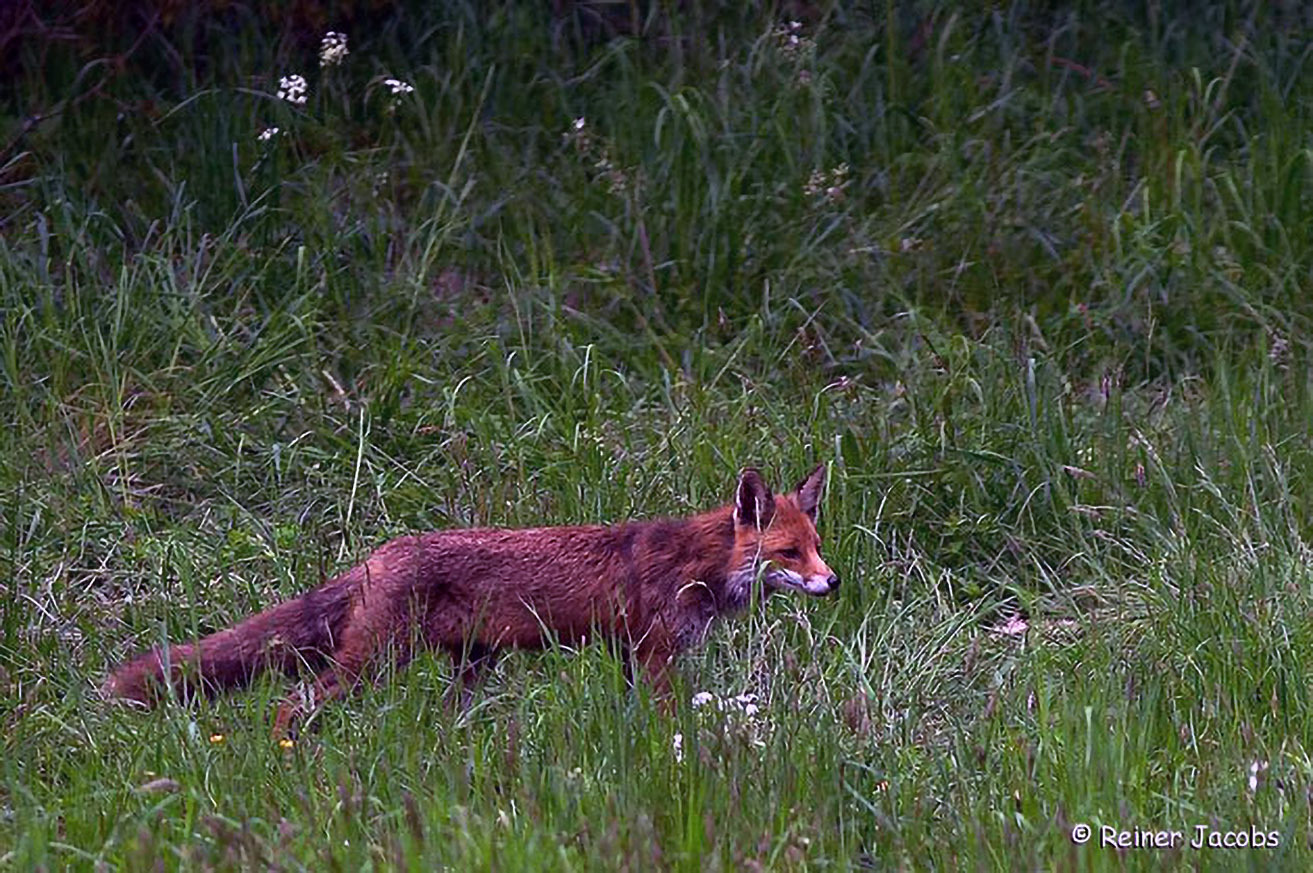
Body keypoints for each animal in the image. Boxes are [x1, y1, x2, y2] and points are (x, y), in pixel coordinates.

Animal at [104, 465, 838, 732]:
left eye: (817, 545)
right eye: (787, 554)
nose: (832, 582)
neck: (699, 564)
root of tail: (375, 555)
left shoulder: (633, 657)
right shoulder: (656, 655)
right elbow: (666, 721)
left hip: (471, 668)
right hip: (372, 664)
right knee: (293, 701)